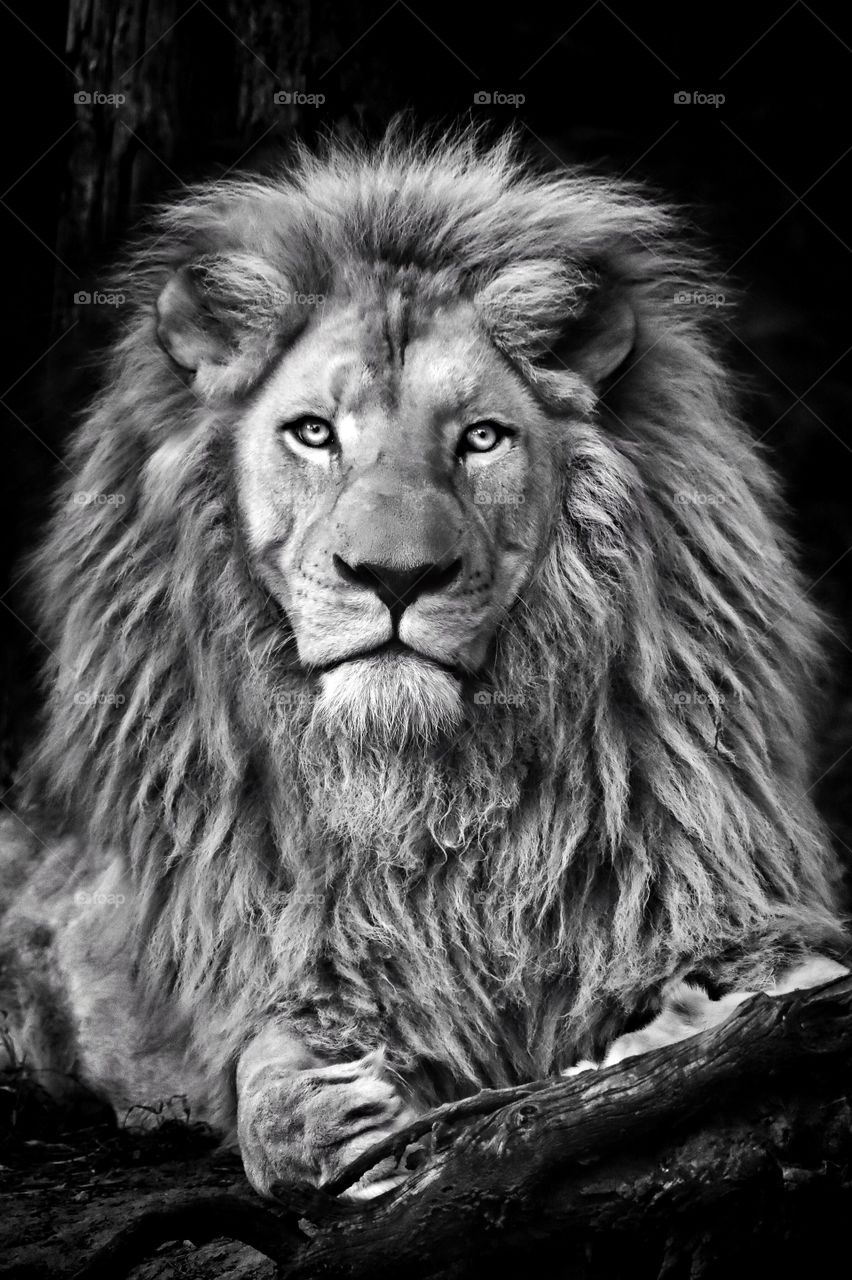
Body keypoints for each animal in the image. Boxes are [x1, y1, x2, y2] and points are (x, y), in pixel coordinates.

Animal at [0, 126, 847, 1200]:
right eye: (313, 432)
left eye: (481, 438)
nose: (395, 576)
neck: (431, 791)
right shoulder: (292, 963)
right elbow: (266, 1092)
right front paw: (336, 1118)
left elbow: (784, 987)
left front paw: (665, 1029)